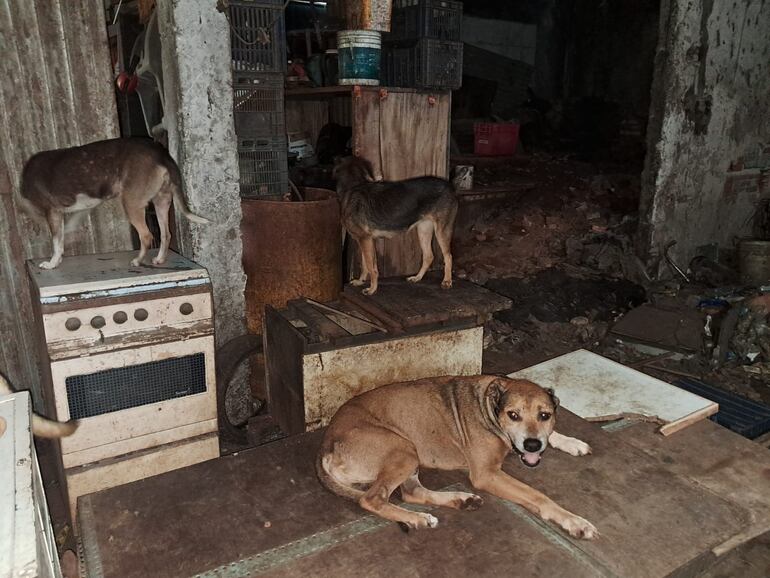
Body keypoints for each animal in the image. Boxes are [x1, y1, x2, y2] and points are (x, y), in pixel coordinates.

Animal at [19, 138, 208, 270]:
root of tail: (161, 153)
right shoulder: (81, 207)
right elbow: (67, 231)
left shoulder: (52, 212)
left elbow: (57, 243)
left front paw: (51, 263)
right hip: (161, 201)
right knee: (166, 234)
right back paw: (160, 259)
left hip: (131, 203)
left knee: (146, 236)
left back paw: (138, 261)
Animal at [316, 372, 596, 536]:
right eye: (513, 415)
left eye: (545, 415)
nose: (532, 445)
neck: (490, 407)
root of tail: (326, 447)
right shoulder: (487, 474)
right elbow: (538, 497)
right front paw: (574, 521)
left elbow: (552, 435)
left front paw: (570, 442)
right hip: (402, 449)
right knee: (372, 499)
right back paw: (417, 518)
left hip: (408, 457)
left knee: (411, 492)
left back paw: (460, 500)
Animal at [332, 155, 456, 294]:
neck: (353, 186)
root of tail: (449, 186)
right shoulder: (367, 239)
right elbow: (366, 264)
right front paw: (361, 281)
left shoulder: (364, 239)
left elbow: (370, 266)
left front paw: (372, 289)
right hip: (423, 230)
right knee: (429, 256)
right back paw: (417, 278)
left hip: (442, 231)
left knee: (448, 256)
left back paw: (447, 281)